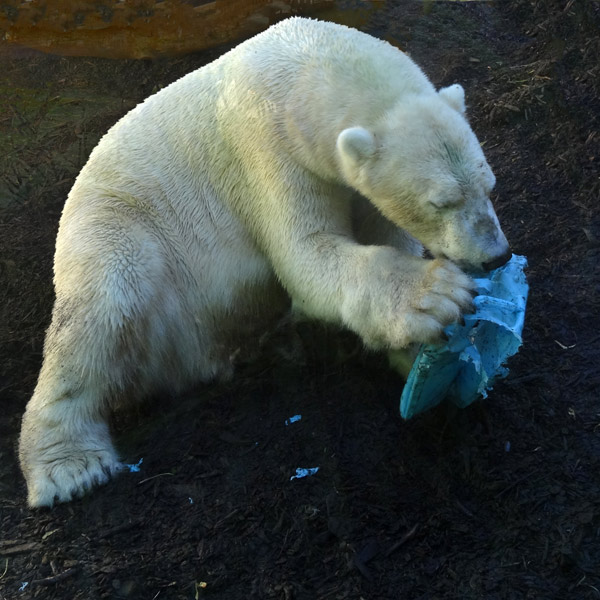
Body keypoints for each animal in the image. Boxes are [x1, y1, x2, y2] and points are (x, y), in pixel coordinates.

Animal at [17, 17, 510, 506]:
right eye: (441, 202)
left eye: (489, 184)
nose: (496, 256)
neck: (306, 63)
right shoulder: (270, 148)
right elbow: (306, 253)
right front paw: (435, 296)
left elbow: (380, 229)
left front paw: (425, 353)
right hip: (118, 223)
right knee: (101, 308)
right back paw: (69, 466)